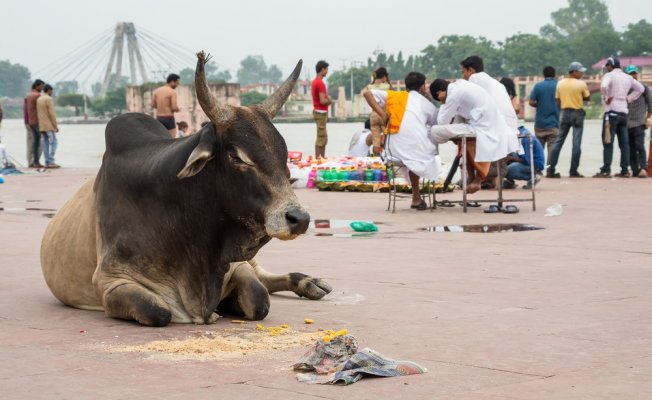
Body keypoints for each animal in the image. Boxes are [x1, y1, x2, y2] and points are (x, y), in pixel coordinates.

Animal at [40, 51, 332, 326]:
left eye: (283, 155)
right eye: (237, 156)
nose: (299, 219)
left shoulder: (236, 266)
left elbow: (259, 299)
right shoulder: (110, 281)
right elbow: (158, 311)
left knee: (265, 280)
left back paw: (309, 282)